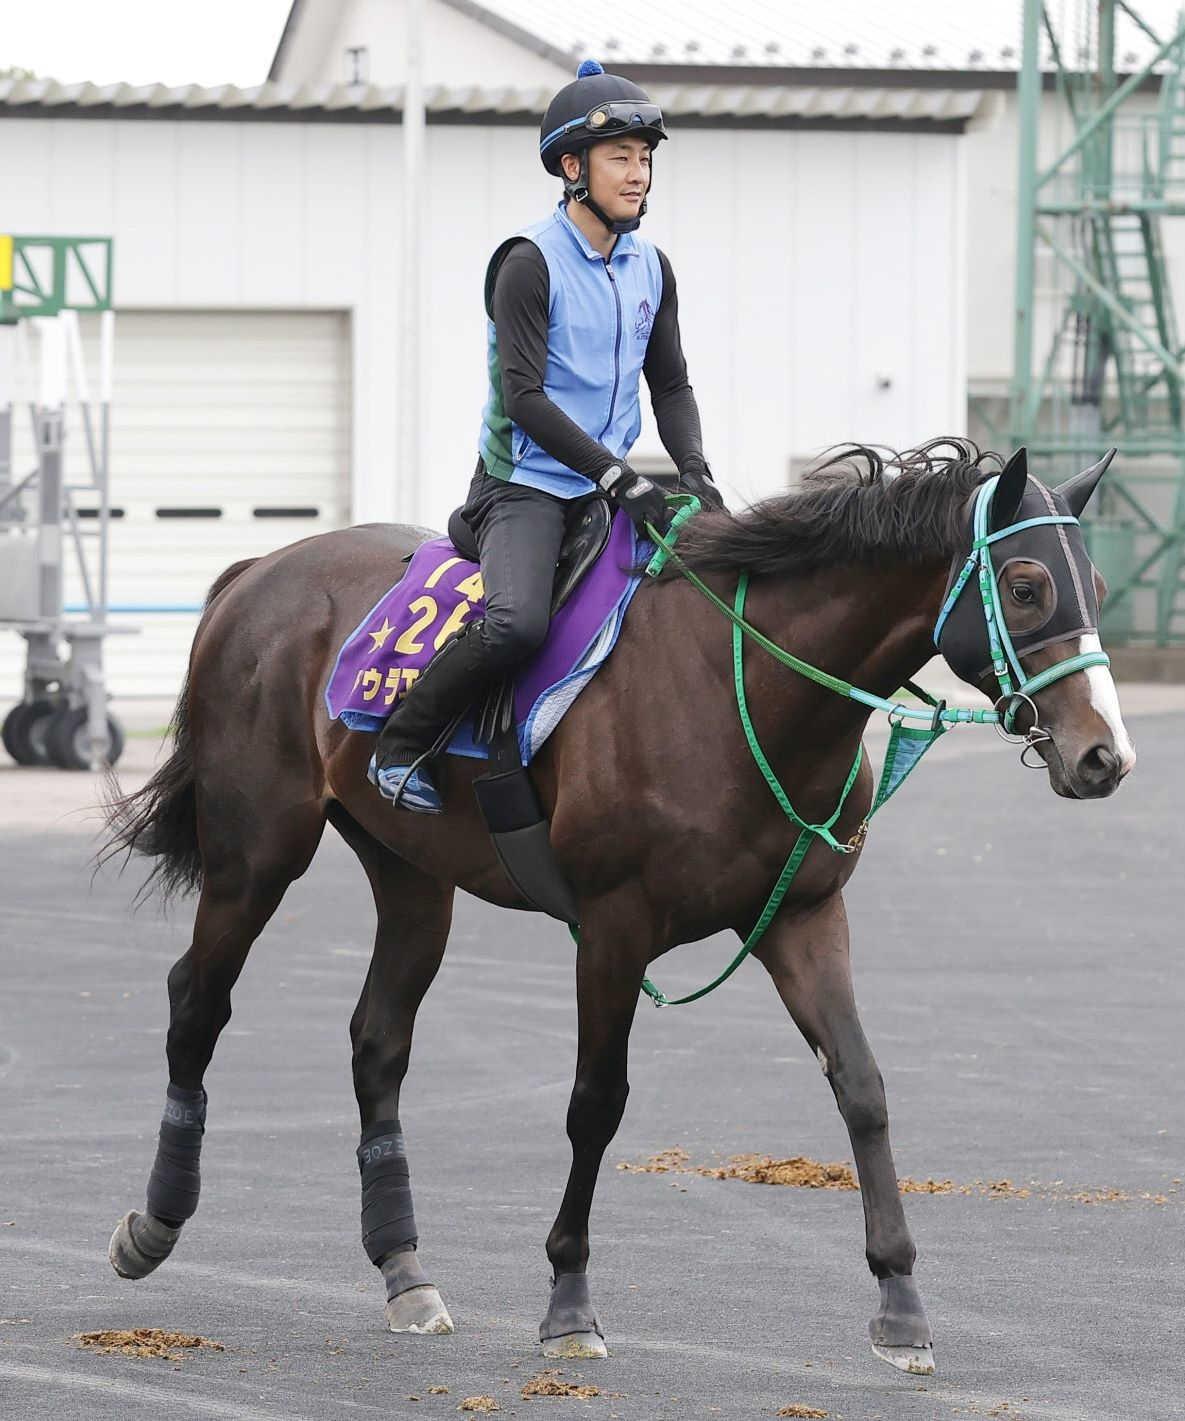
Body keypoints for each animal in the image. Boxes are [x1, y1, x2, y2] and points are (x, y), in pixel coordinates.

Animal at [99, 440, 1125, 1375]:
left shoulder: (803, 917)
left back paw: (405, 1271)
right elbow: (596, 1103)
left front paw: (901, 1303)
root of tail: (257, 572)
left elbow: (862, 1088)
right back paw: (154, 1221)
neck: (738, 684)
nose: (1103, 756)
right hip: (258, 852)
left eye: (1099, 584)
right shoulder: (612, 927)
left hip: (412, 873)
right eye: (1026, 586)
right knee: (197, 1001)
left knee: (377, 1038)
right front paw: (568, 1302)